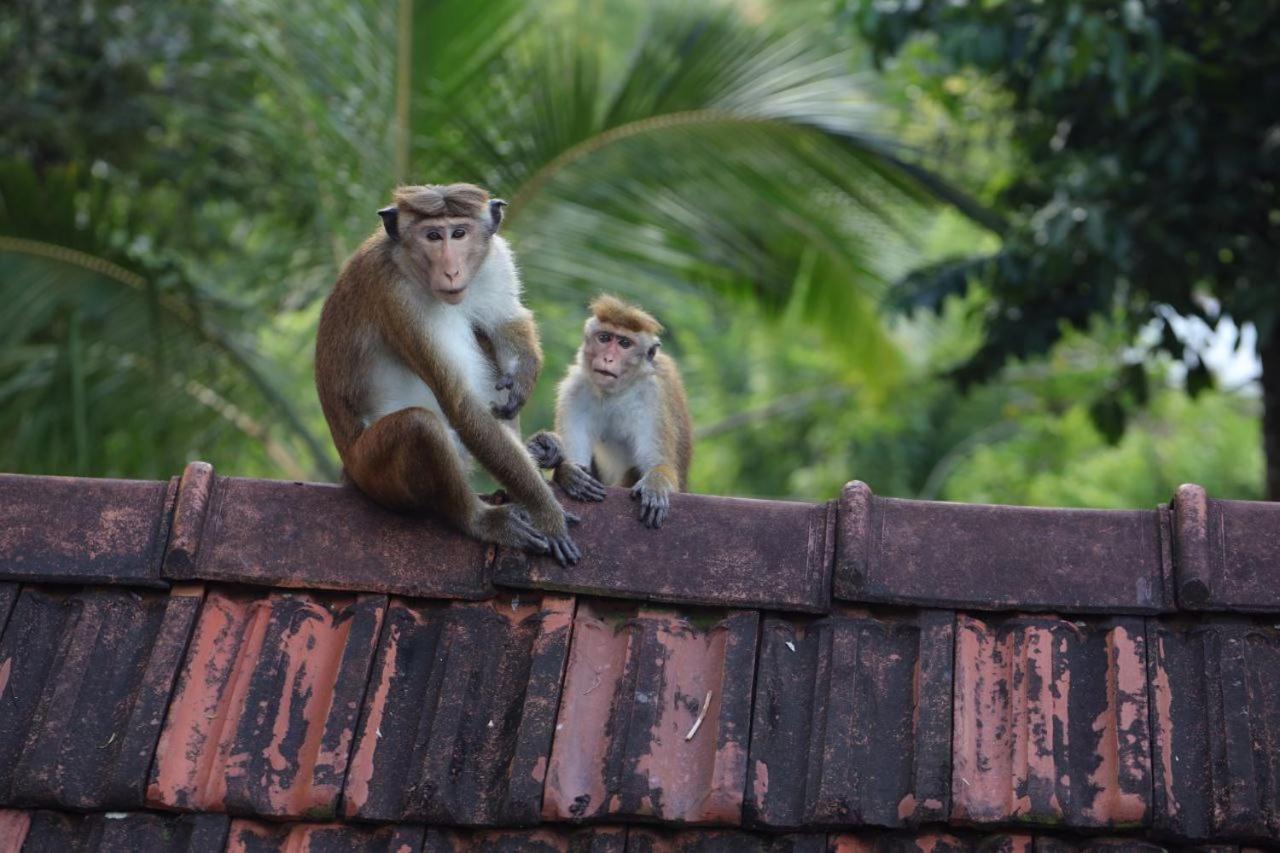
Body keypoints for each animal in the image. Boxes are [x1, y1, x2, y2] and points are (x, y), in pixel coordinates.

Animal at [314, 180, 581, 563]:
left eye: (458, 233)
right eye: (432, 236)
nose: (452, 270)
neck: (406, 263)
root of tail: (347, 468)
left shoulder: (494, 260)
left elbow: (506, 321)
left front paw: (525, 373)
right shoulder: (398, 296)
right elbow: (461, 403)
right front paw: (547, 515)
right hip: (372, 472)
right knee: (420, 427)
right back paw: (479, 518)